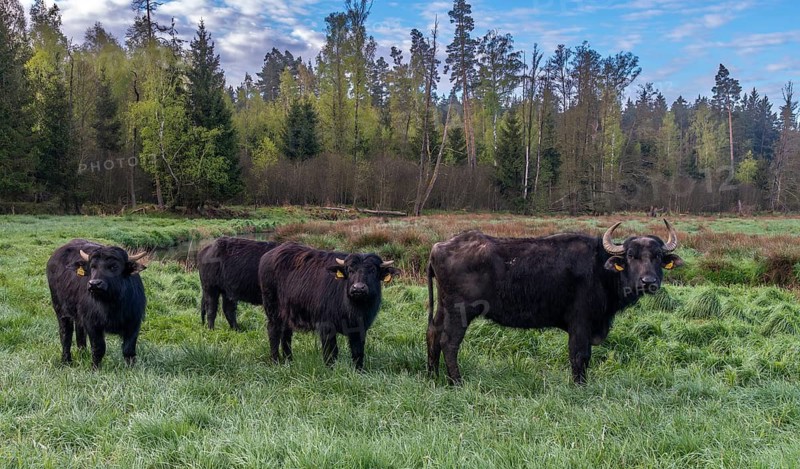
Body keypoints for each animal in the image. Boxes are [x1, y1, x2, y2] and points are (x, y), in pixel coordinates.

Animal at [46, 239, 147, 368]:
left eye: (114, 266)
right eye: (93, 267)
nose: (94, 284)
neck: (111, 304)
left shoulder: (134, 322)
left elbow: (128, 349)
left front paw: (131, 368)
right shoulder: (92, 323)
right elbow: (98, 348)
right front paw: (95, 367)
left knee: (79, 331)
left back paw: (82, 353)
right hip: (60, 310)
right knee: (65, 334)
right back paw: (66, 361)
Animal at [258, 242, 398, 369]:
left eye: (373, 270)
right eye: (350, 270)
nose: (358, 288)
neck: (353, 308)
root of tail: (268, 255)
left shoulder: (360, 328)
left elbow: (358, 352)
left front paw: (359, 370)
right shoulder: (326, 326)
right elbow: (331, 352)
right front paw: (330, 369)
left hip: (288, 313)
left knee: (286, 334)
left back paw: (289, 360)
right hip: (272, 309)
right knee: (273, 331)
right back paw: (275, 361)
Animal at [426, 220, 684, 384]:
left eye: (658, 256)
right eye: (631, 255)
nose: (648, 281)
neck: (599, 269)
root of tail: (438, 247)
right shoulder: (580, 322)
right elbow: (580, 355)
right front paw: (580, 386)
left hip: (442, 307)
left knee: (433, 333)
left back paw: (432, 375)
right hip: (460, 311)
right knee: (449, 342)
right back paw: (457, 381)